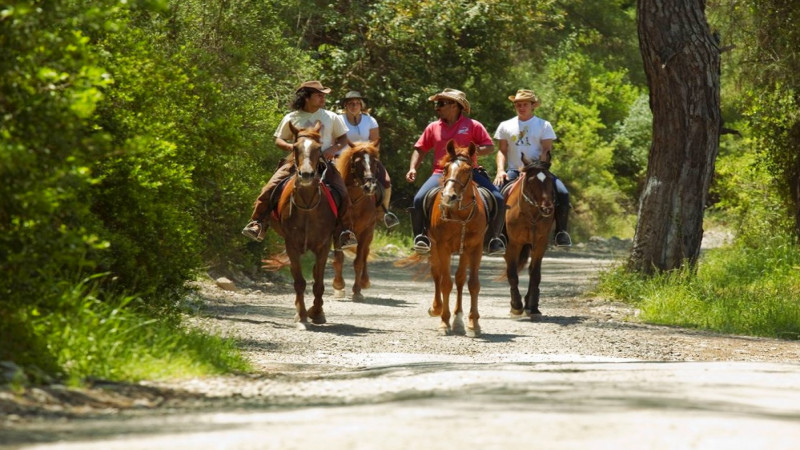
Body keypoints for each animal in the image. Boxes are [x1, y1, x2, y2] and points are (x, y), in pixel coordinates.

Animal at [268, 121, 338, 328]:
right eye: (295, 147)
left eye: (318, 148)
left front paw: (317, 313)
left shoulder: (324, 245)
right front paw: (301, 316)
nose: (306, 175)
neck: (308, 206)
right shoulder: (291, 244)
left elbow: (319, 282)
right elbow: (299, 281)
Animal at [332, 142, 382, 300]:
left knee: (365, 253)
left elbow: (359, 261)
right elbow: (339, 258)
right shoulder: (338, 231)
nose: (370, 186)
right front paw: (338, 285)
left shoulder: (366, 231)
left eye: (375, 162)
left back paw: (364, 281)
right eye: (358, 162)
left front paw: (357, 291)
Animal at [424, 142, 488, 336]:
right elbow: (445, 283)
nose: (448, 196)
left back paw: (458, 319)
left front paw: (473, 324)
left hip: (463, 251)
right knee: (437, 274)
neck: (460, 215)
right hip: (433, 247)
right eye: (445, 168)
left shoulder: (475, 247)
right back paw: (436, 308)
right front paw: (444, 322)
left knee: (460, 279)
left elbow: (473, 284)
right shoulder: (442, 247)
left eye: (468, 170)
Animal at [500, 158, 556, 320]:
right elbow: (512, 274)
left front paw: (532, 306)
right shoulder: (512, 245)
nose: (547, 208)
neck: (531, 215)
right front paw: (516, 306)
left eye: (550, 180)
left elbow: (535, 273)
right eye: (531, 181)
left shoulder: (540, 244)